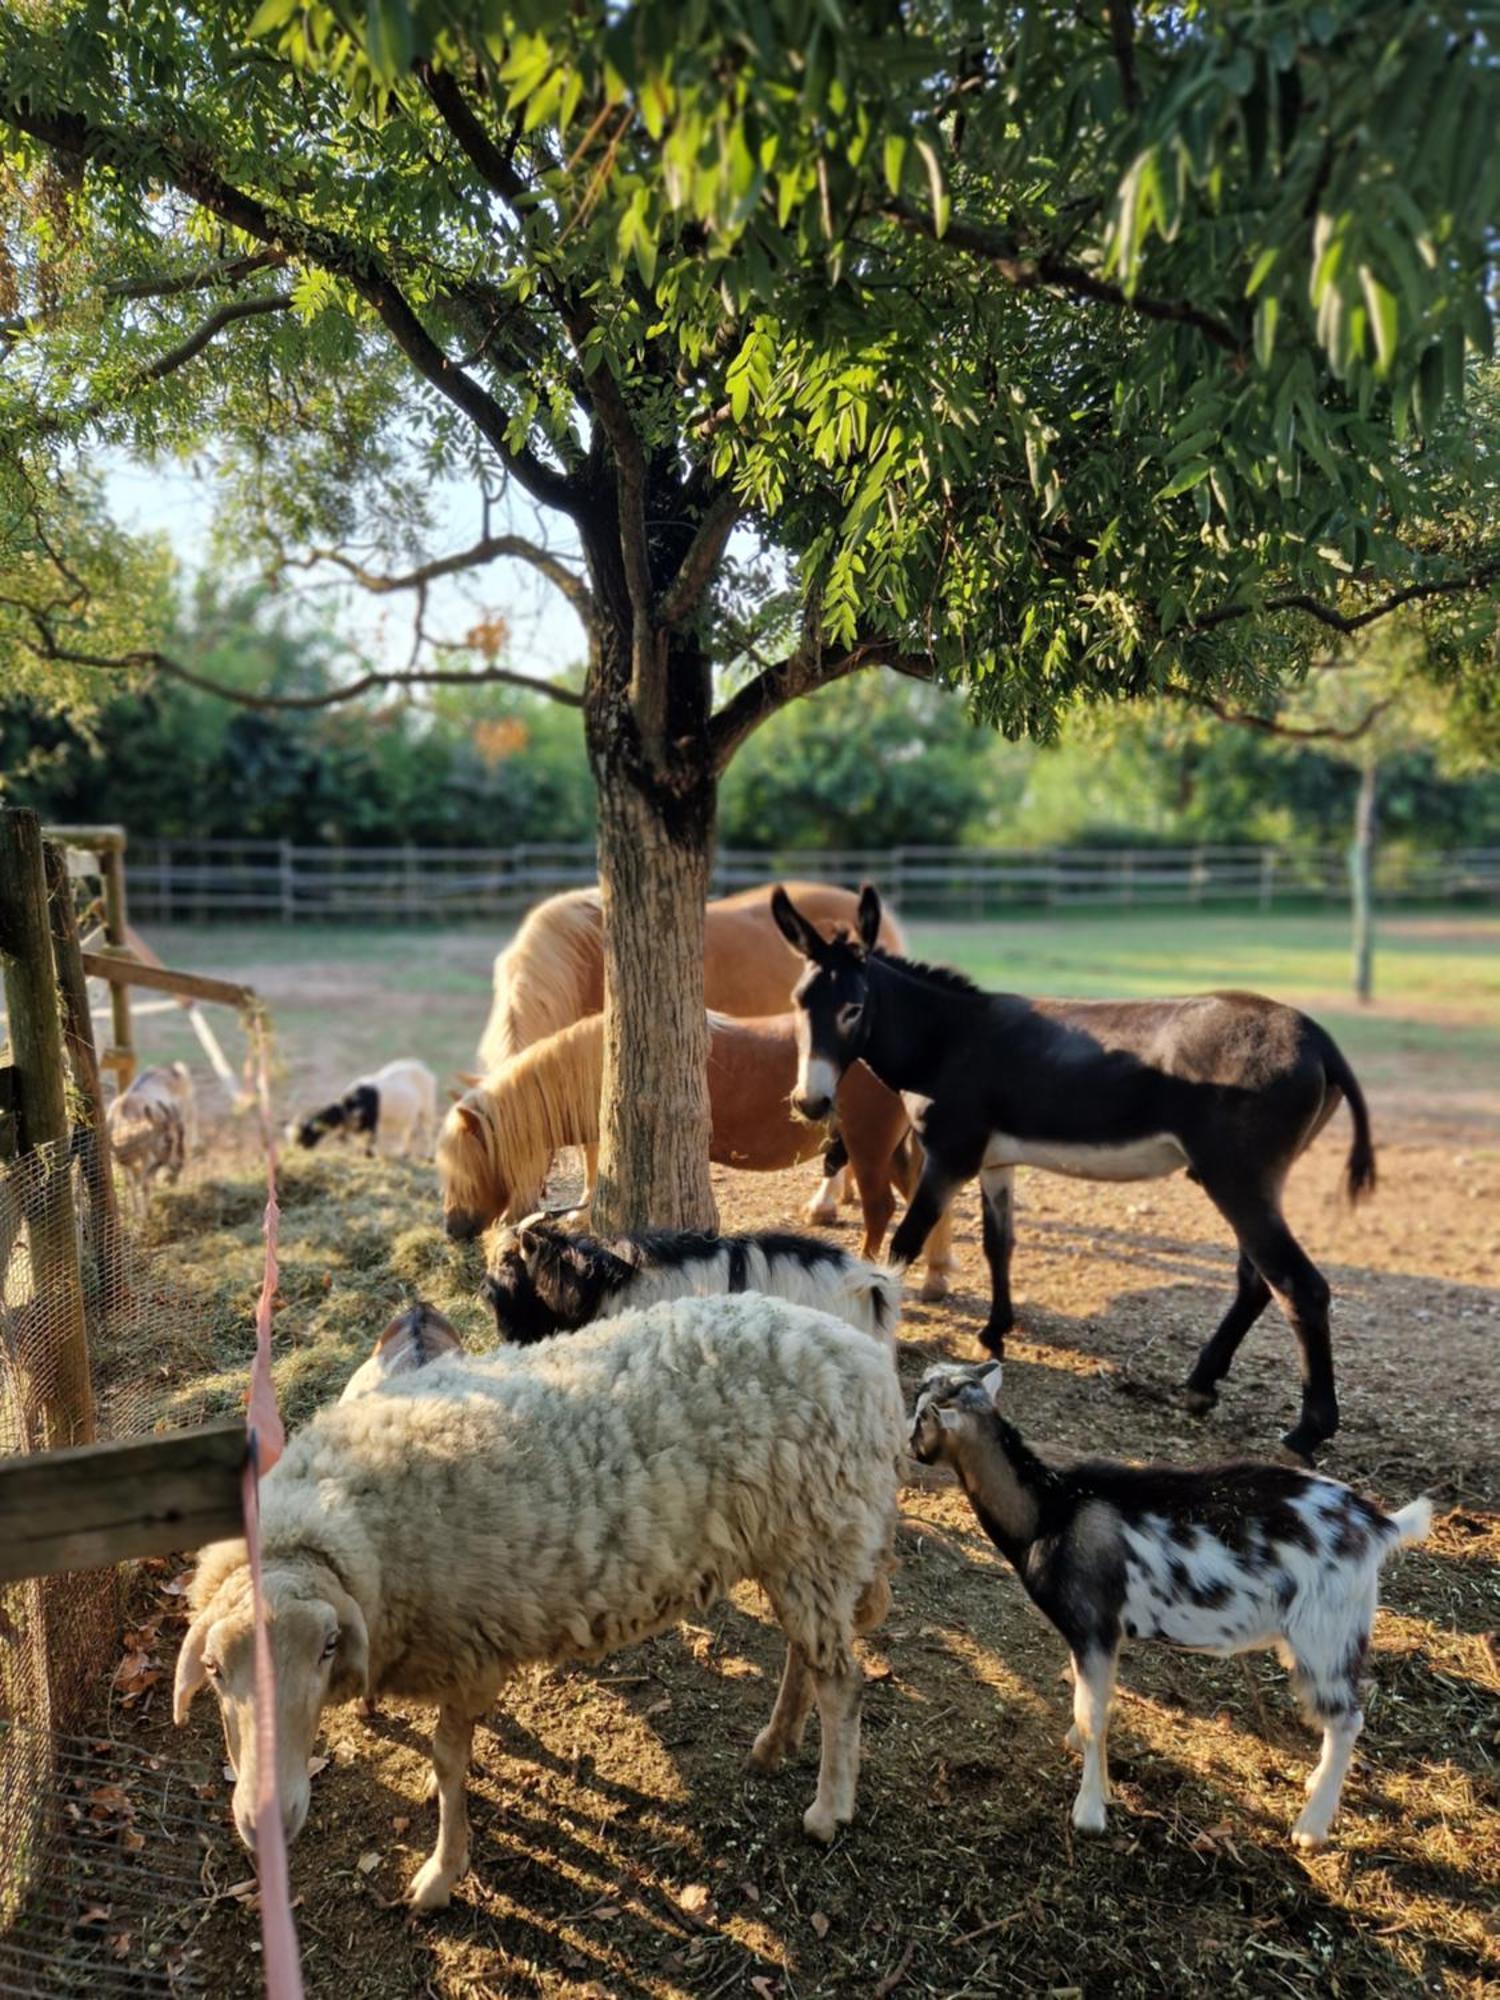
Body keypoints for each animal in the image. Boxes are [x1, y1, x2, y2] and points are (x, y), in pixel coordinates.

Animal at [176, 1296, 904, 1904]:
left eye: (327, 1647)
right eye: (213, 1670)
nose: (267, 1820)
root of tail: (865, 1356)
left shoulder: (468, 1654)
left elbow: (449, 1763)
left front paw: (442, 1873)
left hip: (818, 1530)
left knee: (842, 1682)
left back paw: (827, 1810)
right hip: (795, 1546)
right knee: (805, 1655)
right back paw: (774, 1743)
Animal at [290, 1056, 438, 1168]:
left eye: (306, 1135)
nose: (297, 1150)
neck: (348, 1106)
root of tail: (422, 1066)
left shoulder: (372, 1122)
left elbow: (369, 1142)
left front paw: (369, 1157)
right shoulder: (358, 1126)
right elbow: (359, 1141)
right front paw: (358, 1156)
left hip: (428, 1107)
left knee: (428, 1131)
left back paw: (430, 1157)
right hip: (410, 1113)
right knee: (408, 1130)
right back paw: (404, 1153)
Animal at [780, 884, 1384, 1464]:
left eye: (853, 1008)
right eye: (797, 1002)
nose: (810, 1104)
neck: (948, 1041)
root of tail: (1317, 1037)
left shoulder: (950, 1158)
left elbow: (903, 1245)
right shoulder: (996, 1162)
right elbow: (1000, 1244)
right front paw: (995, 1332)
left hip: (1237, 1177)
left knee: (1299, 1286)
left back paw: (1307, 1431)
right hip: (1246, 1182)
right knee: (1257, 1280)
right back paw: (1200, 1385)